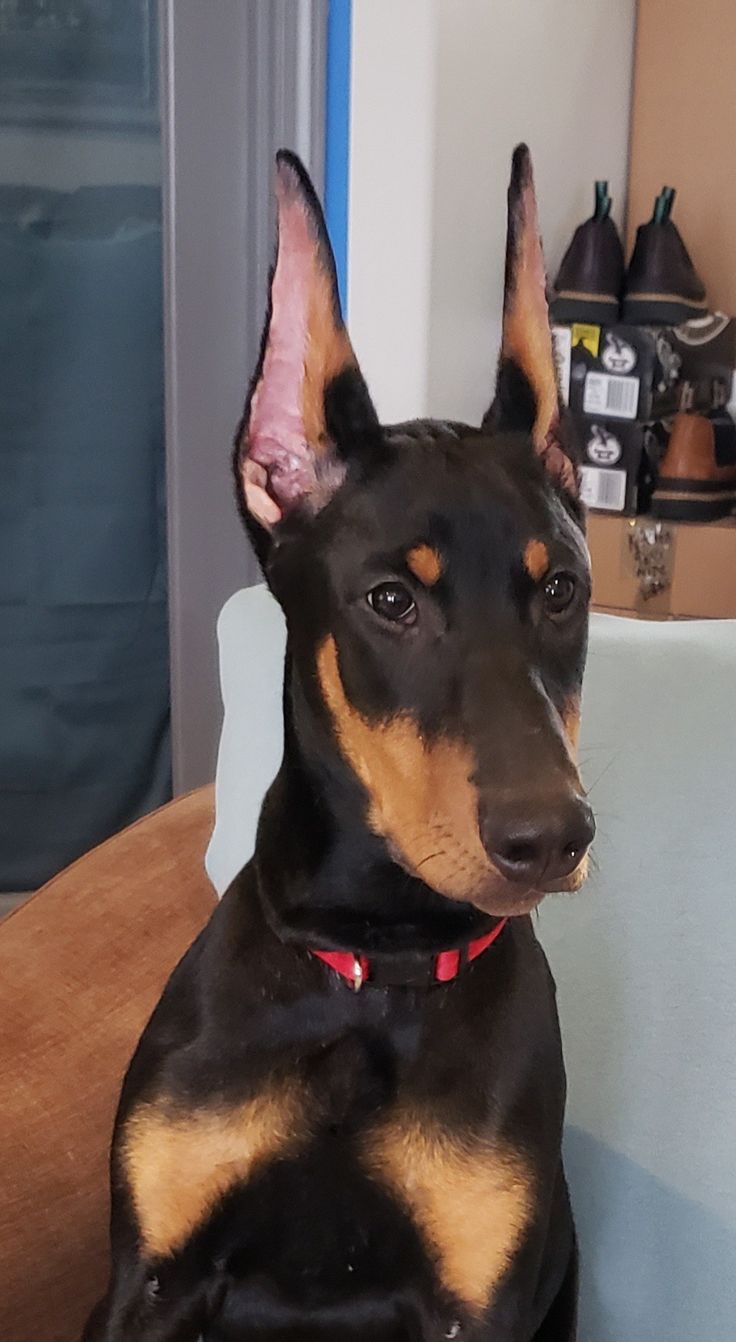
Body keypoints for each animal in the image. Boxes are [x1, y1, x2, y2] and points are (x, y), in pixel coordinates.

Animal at [83, 146, 596, 1342]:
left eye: (561, 588)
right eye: (390, 599)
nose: (550, 837)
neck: (376, 965)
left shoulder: (476, 1298)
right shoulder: (150, 1277)